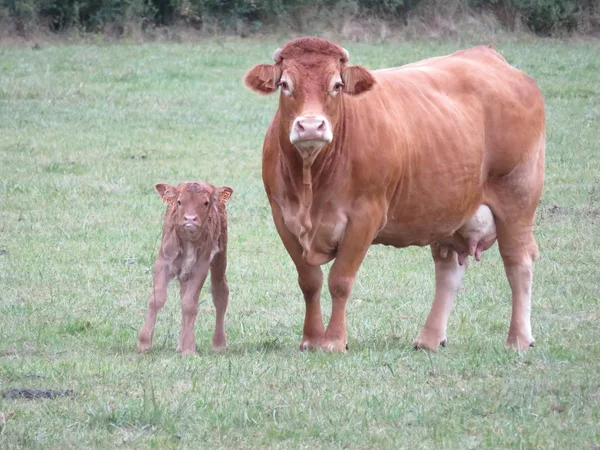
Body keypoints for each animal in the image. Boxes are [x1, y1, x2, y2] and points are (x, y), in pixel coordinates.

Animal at [137, 181, 233, 354]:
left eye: (205, 202)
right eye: (180, 201)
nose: (190, 219)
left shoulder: (201, 267)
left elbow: (189, 305)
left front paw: (188, 349)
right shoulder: (163, 262)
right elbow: (156, 298)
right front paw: (144, 343)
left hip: (220, 255)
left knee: (220, 292)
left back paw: (218, 342)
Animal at [243, 37, 544, 352]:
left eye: (337, 85)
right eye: (285, 84)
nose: (311, 126)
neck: (311, 181)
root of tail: (488, 55)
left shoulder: (365, 216)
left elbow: (340, 280)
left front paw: (334, 341)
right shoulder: (282, 217)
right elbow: (309, 280)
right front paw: (311, 339)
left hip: (517, 198)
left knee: (518, 260)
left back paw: (519, 338)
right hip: (448, 209)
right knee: (448, 269)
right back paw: (429, 338)